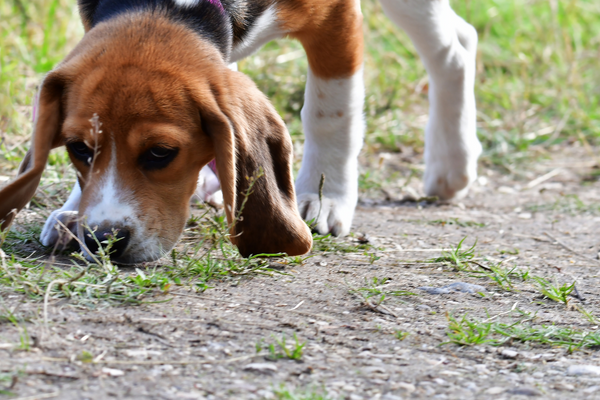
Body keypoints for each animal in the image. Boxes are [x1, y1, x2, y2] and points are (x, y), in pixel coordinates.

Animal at [0, 0, 480, 262]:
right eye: (78, 148)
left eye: (160, 153)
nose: (103, 242)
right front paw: (73, 210)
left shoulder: (334, 18)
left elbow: (330, 112)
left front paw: (322, 196)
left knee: (455, 49)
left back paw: (451, 165)